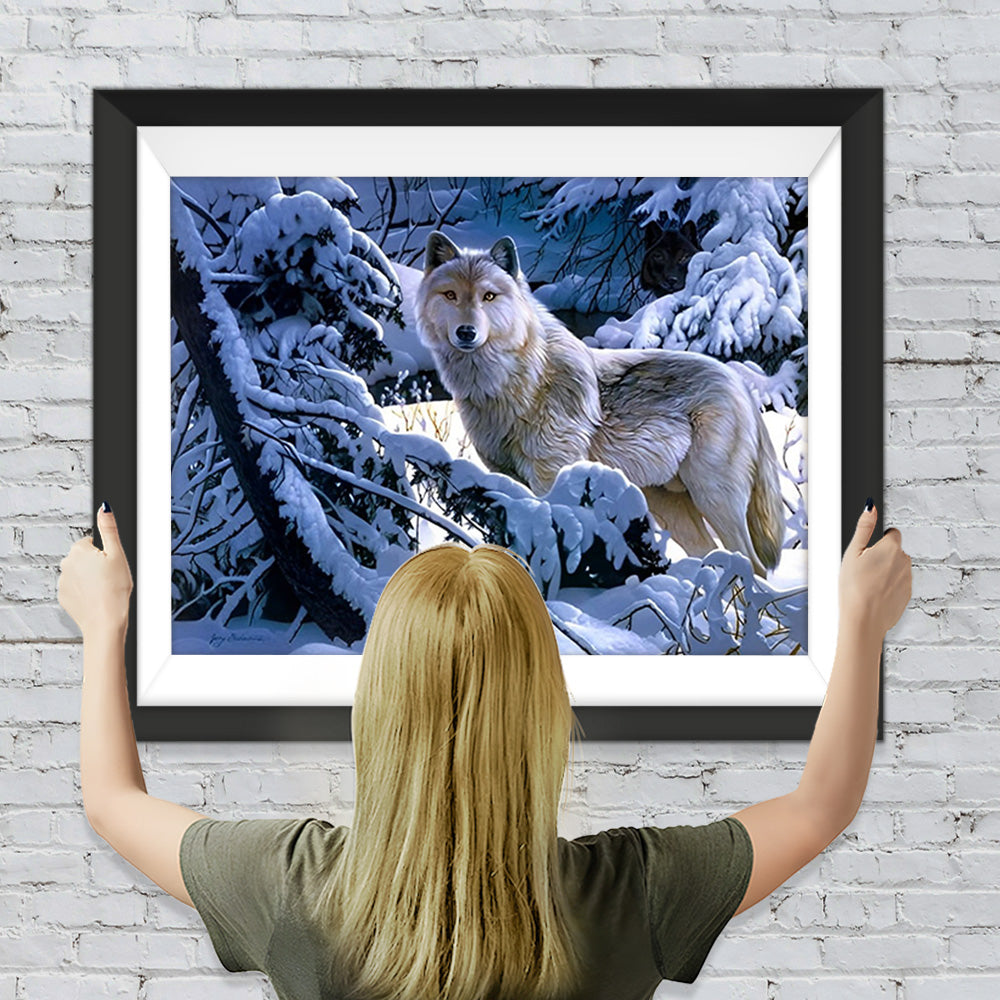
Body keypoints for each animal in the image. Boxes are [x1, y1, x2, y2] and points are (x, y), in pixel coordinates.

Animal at [414, 231, 786, 578]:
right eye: (450, 295)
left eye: (488, 296)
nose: (466, 332)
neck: (514, 382)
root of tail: (739, 382)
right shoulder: (506, 477)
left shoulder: (551, 476)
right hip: (671, 506)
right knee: (713, 555)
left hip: (713, 497)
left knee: (752, 564)